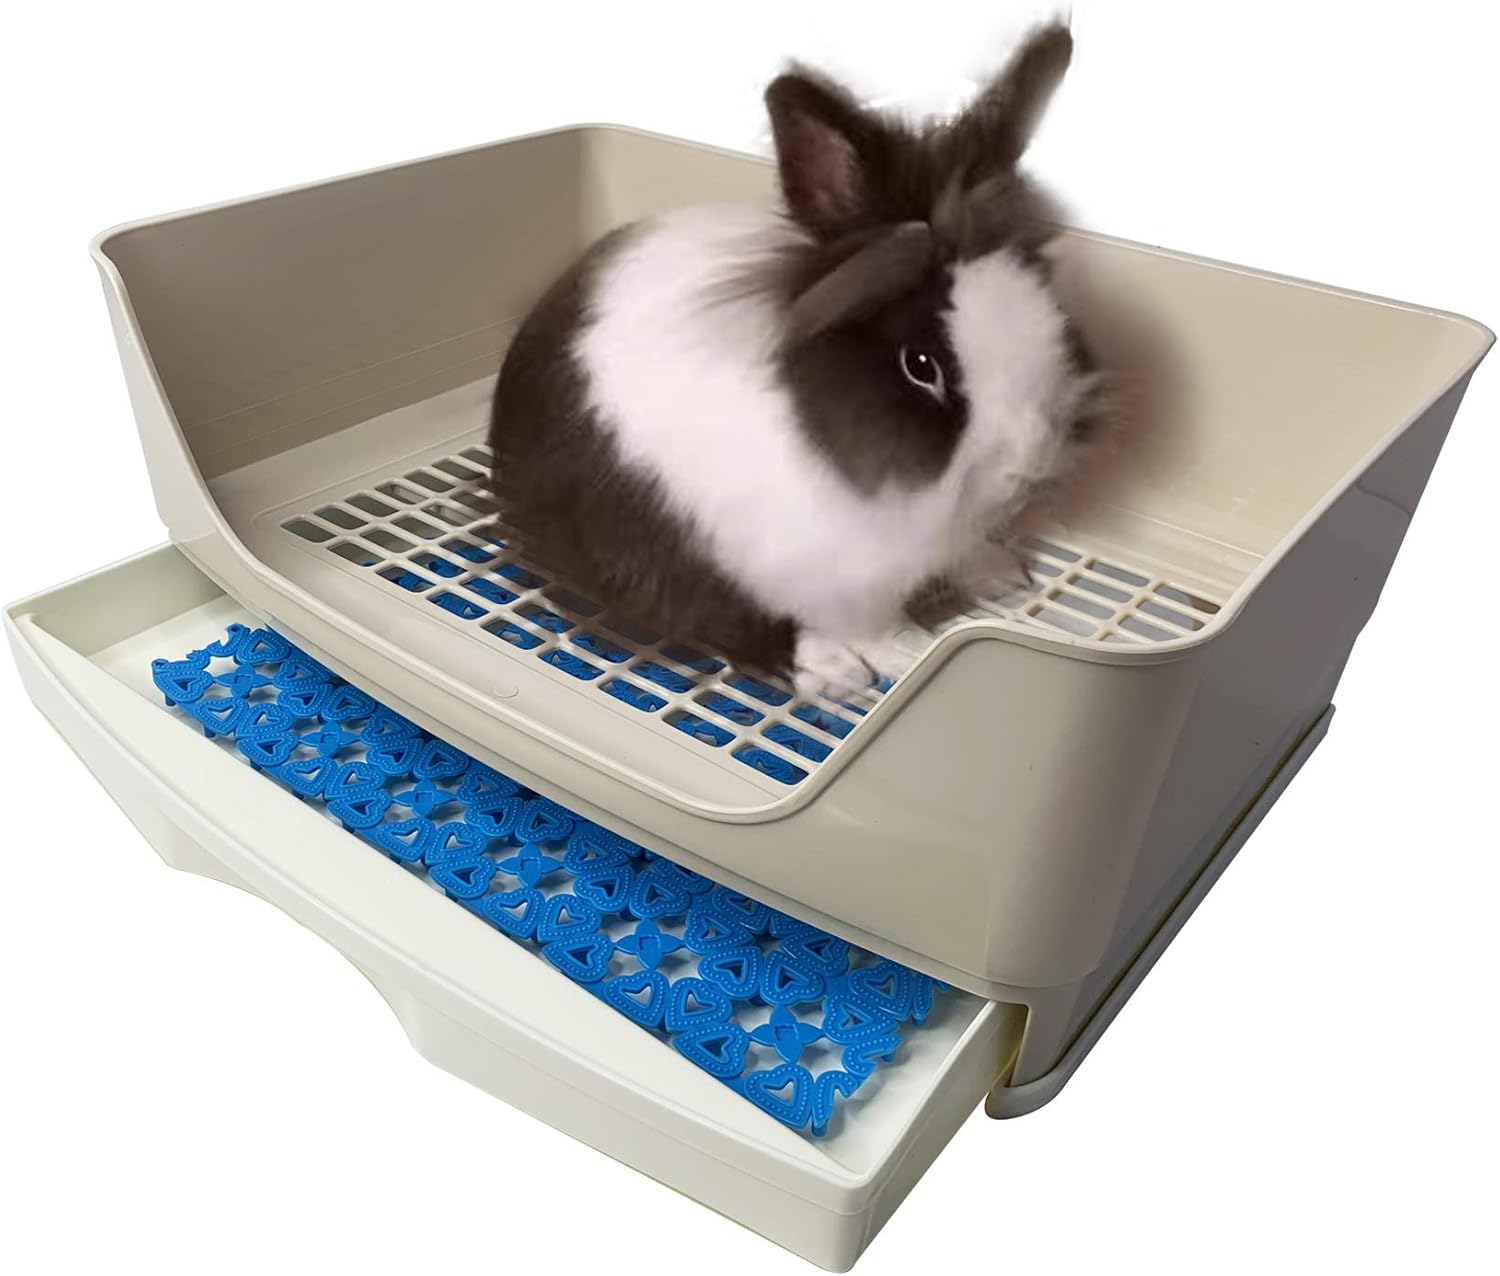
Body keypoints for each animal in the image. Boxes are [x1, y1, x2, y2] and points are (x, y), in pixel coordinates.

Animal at [489, 22, 1107, 699]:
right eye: (921, 365)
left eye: (1053, 312)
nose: (1031, 464)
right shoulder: (834, 578)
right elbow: (872, 626)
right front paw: (912, 652)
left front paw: (1001, 569)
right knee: (714, 614)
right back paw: (832, 672)